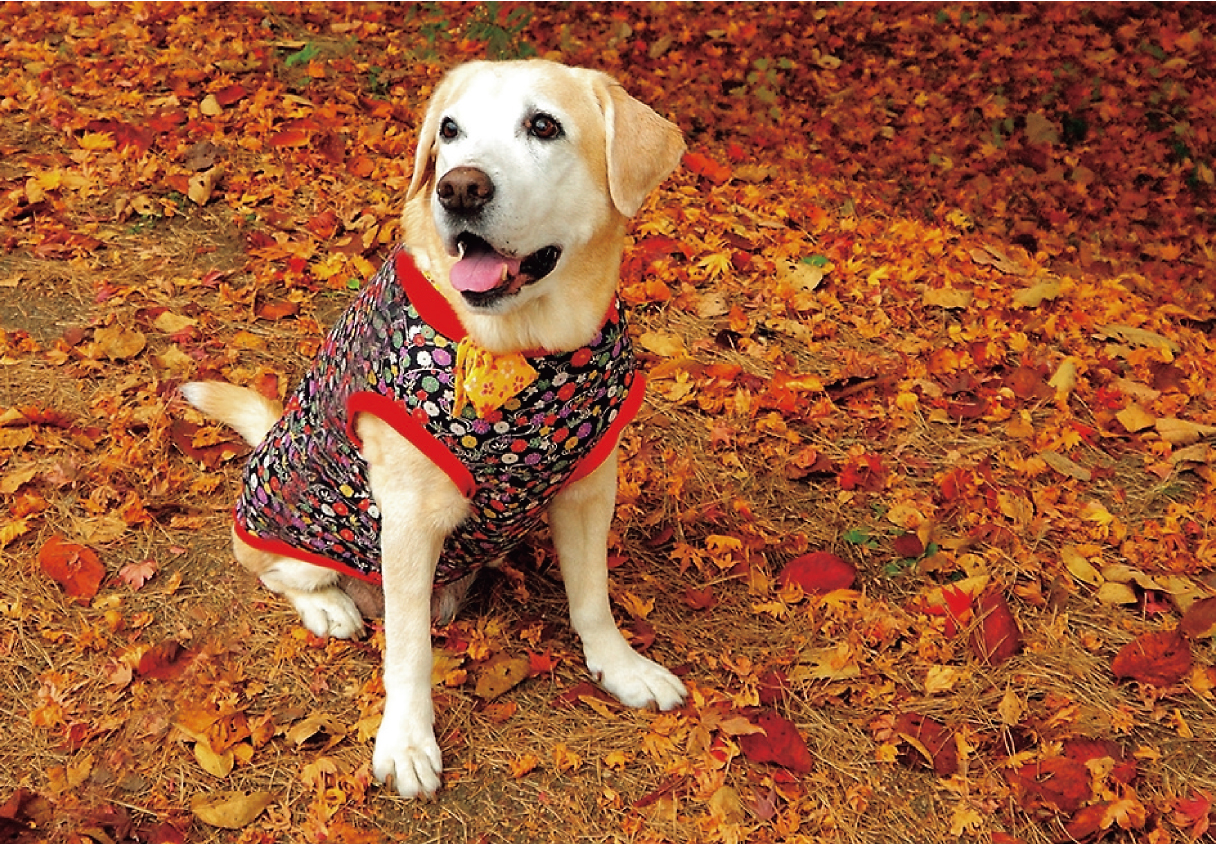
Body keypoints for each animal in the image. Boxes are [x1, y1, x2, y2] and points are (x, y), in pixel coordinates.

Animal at [183, 61, 690, 797]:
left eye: (545, 125)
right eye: (449, 131)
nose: (459, 187)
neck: (523, 351)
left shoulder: (590, 486)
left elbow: (592, 598)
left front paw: (622, 669)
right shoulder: (409, 519)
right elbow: (410, 651)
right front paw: (407, 742)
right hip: (288, 532)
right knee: (279, 575)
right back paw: (329, 607)